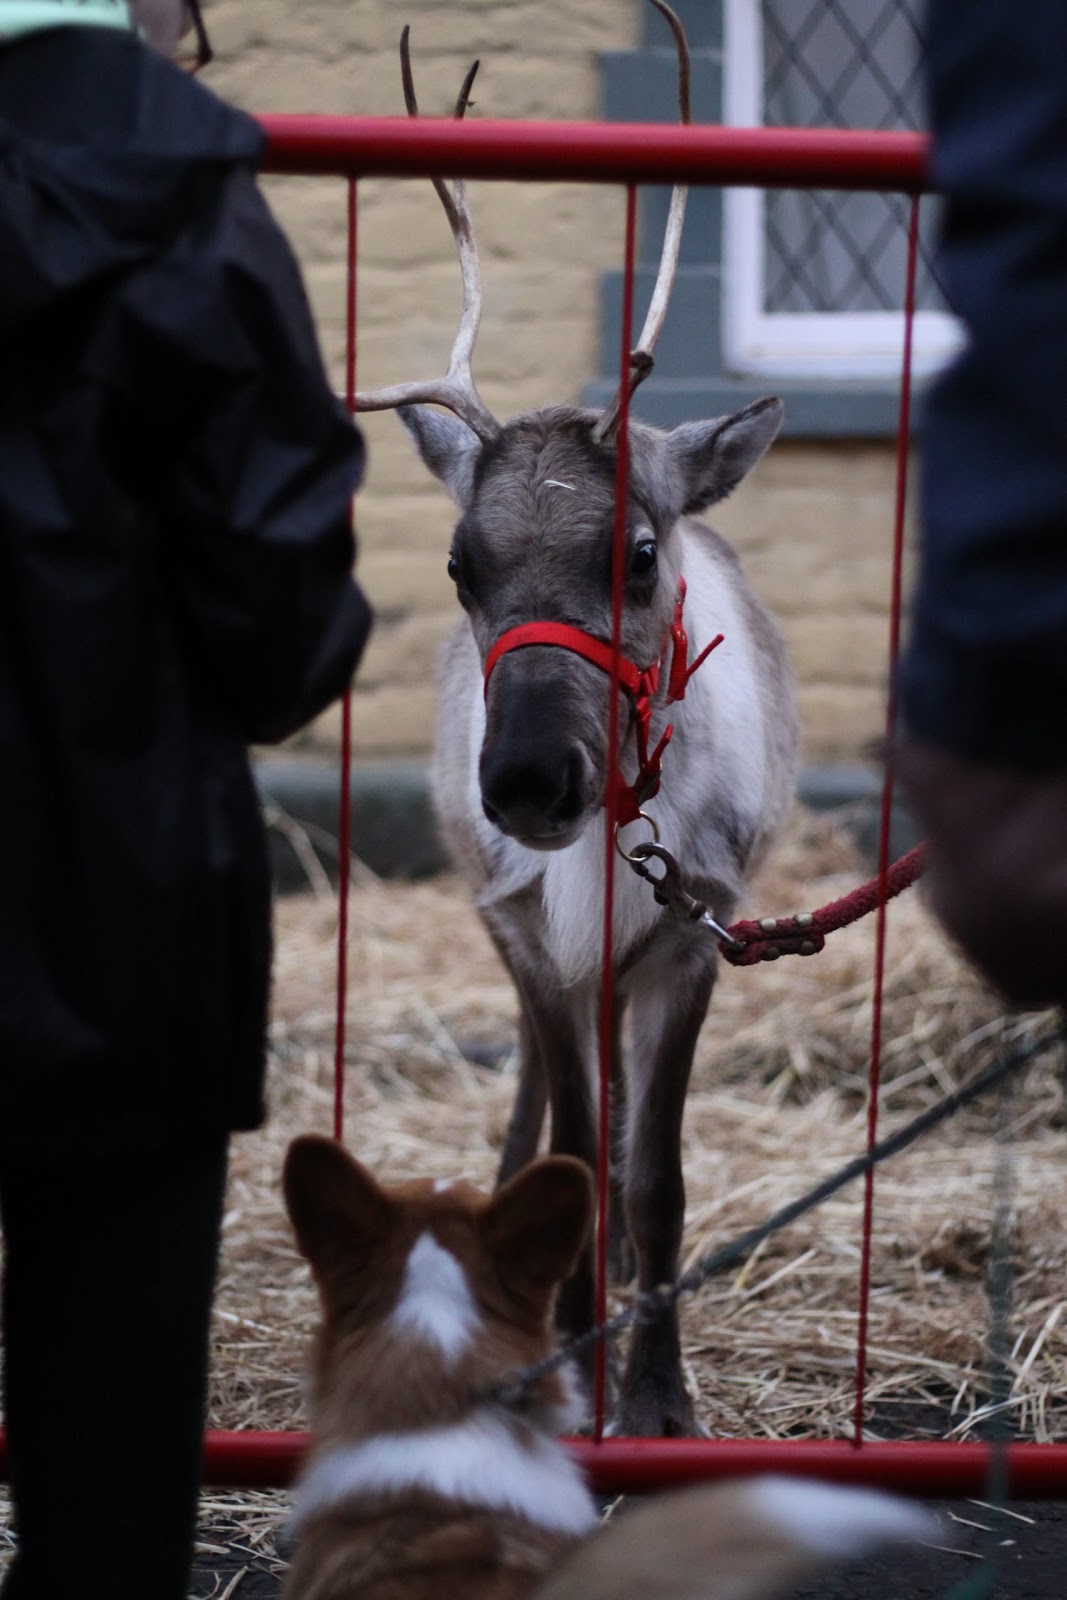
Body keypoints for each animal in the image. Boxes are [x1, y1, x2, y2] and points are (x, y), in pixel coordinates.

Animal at [355, 1, 798, 1437]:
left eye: (641, 553)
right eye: (458, 565)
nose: (527, 781)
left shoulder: (694, 937)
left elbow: (650, 1178)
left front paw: (654, 1396)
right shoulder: (534, 941)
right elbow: (572, 1153)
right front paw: (557, 1359)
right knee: (546, 1111)